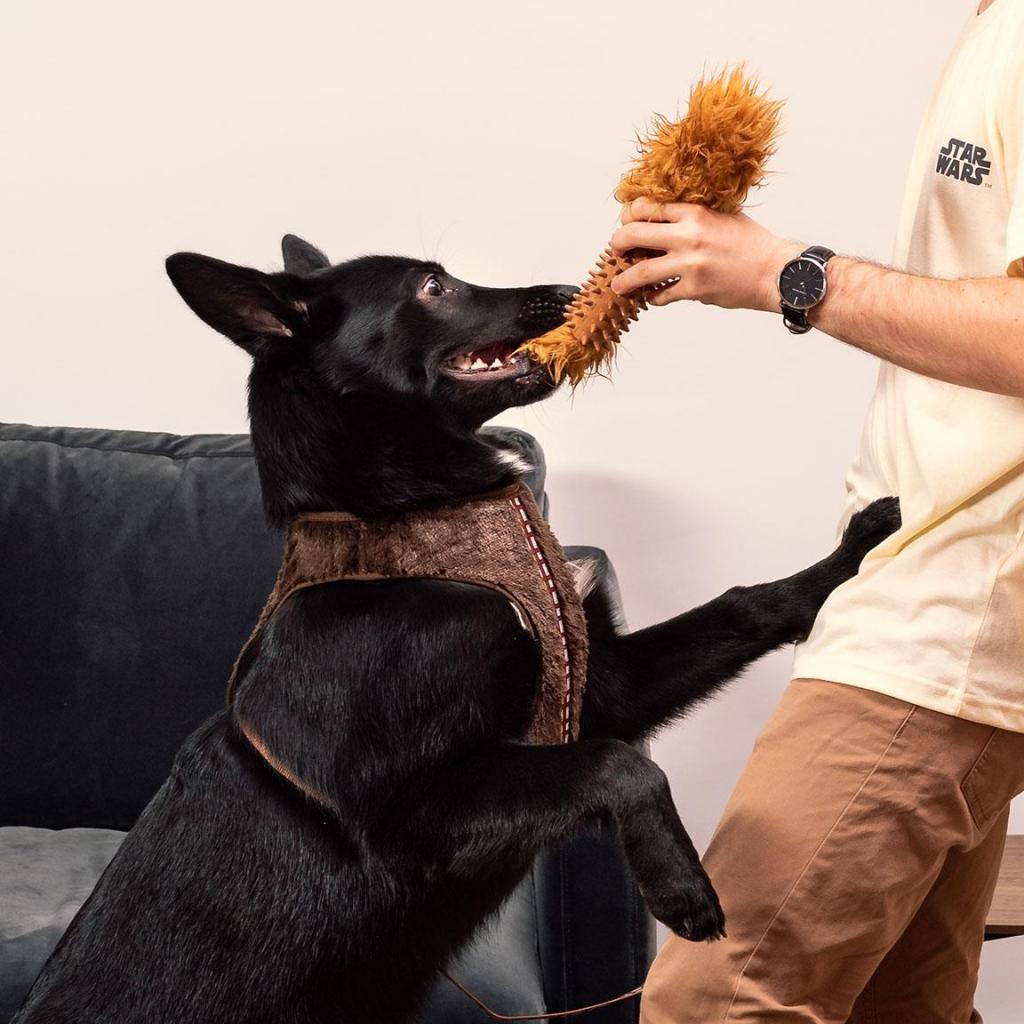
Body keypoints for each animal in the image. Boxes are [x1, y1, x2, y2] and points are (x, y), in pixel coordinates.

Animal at [14, 235, 897, 1024]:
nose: (571, 289)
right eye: (432, 287)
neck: (406, 531)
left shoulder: (601, 692)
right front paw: (679, 882)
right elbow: (623, 767)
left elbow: (743, 605)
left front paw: (851, 553)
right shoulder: (414, 815)